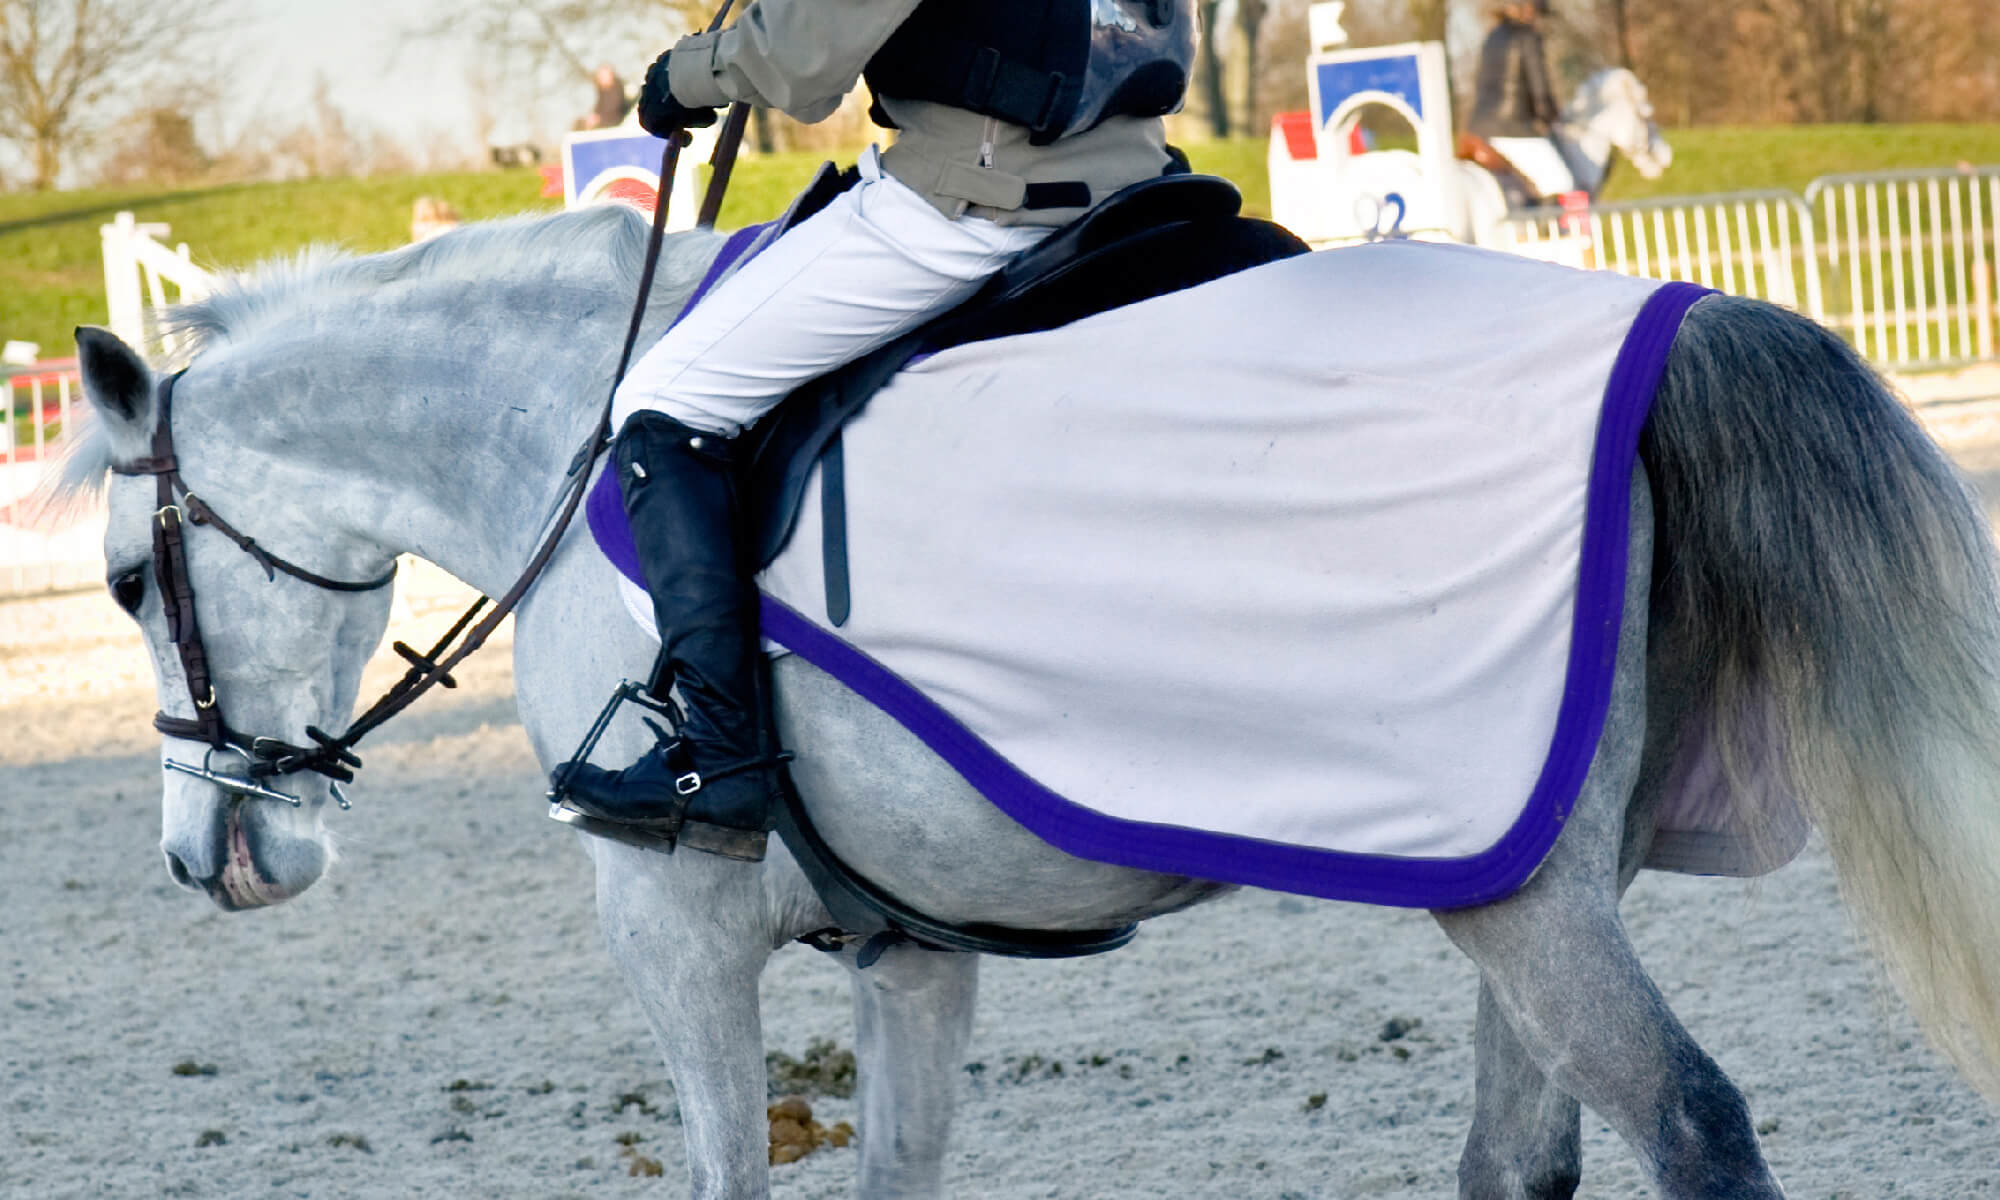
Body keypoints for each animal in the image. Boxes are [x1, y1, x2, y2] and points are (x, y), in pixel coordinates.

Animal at [47, 203, 2000, 1199]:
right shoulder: (912, 943)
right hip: (1524, 874)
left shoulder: (671, 926)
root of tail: (1668, 324)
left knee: (1691, 1125)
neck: (576, 429)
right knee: (1520, 1164)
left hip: (1521, 898)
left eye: (132, 581)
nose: (209, 855)